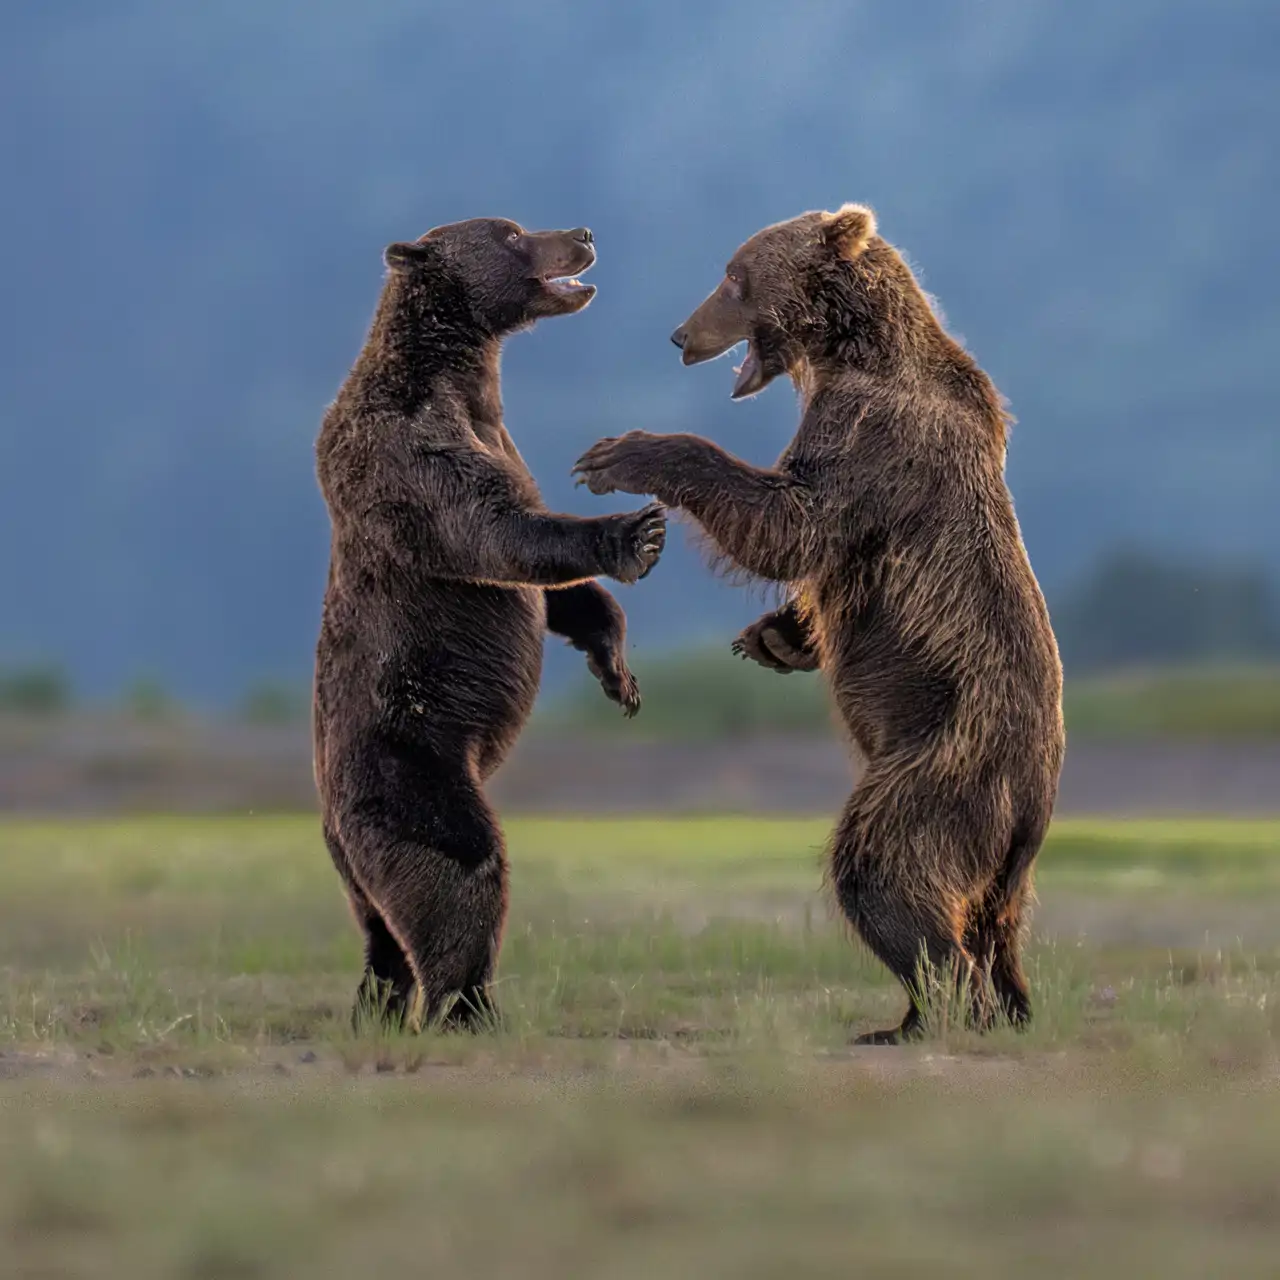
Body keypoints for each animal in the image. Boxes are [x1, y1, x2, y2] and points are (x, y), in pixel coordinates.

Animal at [314, 217, 667, 1032]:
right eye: (508, 233)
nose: (583, 231)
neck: (464, 375)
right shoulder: (411, 449)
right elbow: (496, 533)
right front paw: (636, 533)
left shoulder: (497, 435)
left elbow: (553, 590)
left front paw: (618, 673)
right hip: (407, 758)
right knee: (459, 866)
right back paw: (467, 1005)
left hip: (353, 854)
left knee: (380, 929)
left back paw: (380, 1004)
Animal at [573, 205, 1064, 1043]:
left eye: (733, 276)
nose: (679, 334)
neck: (850, 351)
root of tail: (1034, 805)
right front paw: (773, 638)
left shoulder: (871, 438)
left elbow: (792, 524)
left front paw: (620, 453)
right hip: (1002, 850)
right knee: (994, 921)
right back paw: (988, 1006)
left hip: (944, 756)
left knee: (882, 865)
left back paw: (935, 1011)